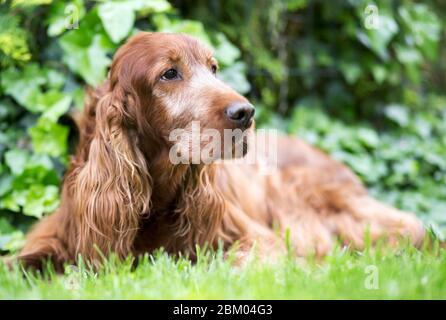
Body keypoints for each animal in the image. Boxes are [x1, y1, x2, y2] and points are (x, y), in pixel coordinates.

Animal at [16, 32, 426, 268]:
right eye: (169, 73)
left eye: (213, 68)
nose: (245, 113)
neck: (156, 196)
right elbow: (23, 263)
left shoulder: (257, 240)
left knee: (409, 230)